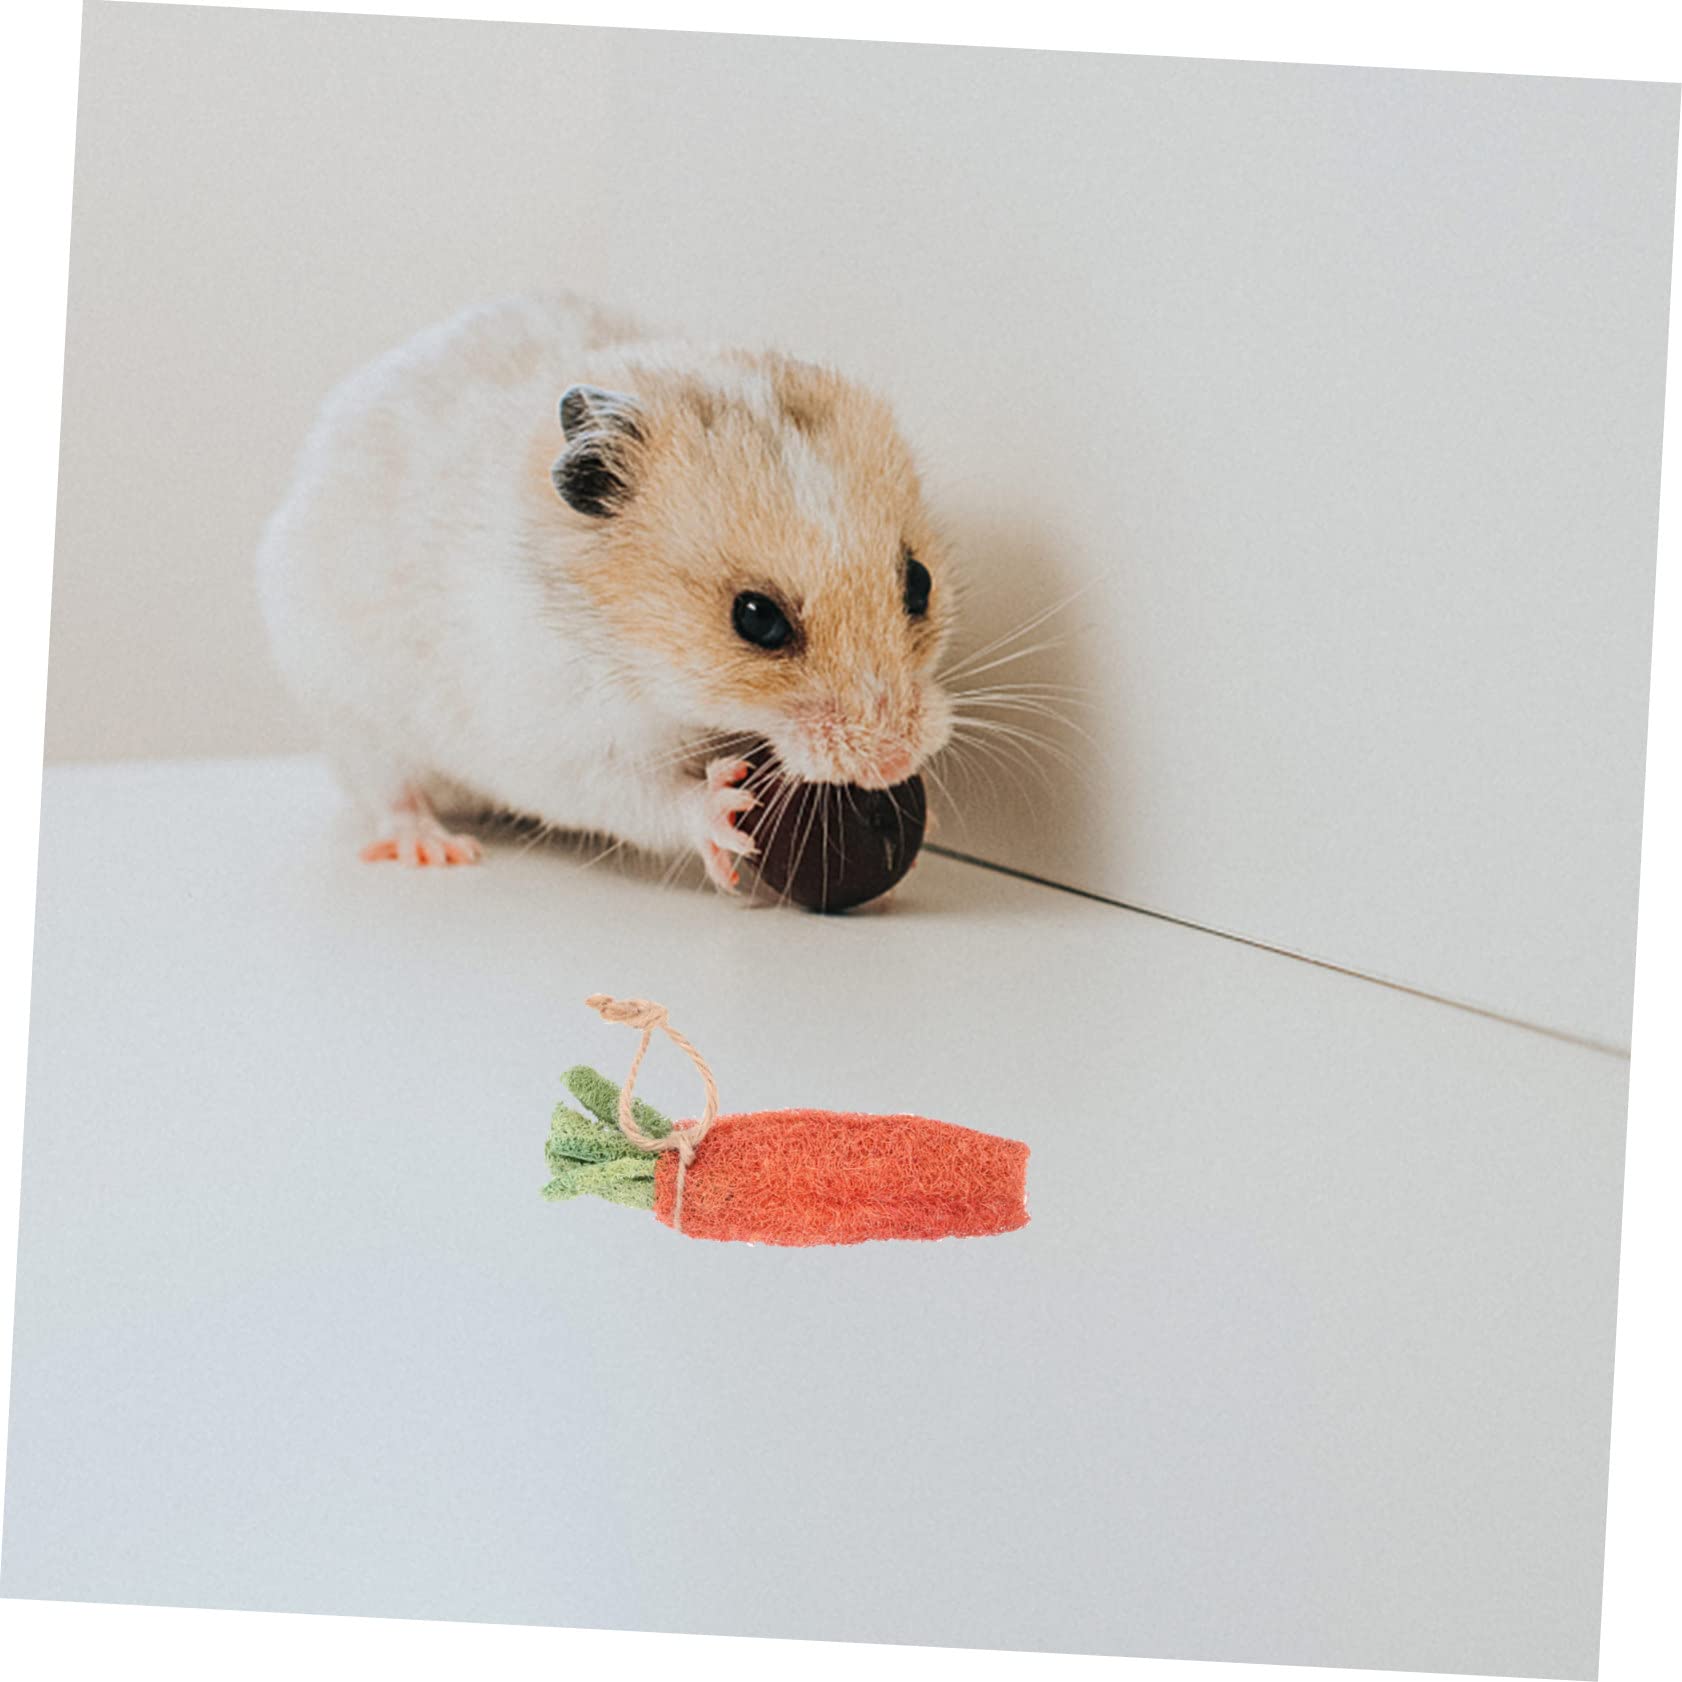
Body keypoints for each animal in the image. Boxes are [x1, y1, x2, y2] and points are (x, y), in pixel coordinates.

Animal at [256, 293, 957, 890]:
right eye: (756, 618)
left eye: (919, 584)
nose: (893, 763)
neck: (636, 654)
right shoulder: (561, 745)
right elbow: (639, 797)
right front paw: (725, 812)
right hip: (352, 713)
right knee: (389, 791)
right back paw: (435, 849)